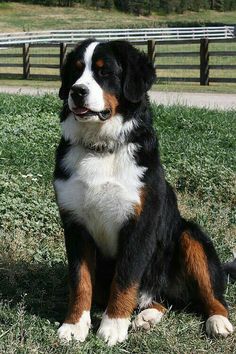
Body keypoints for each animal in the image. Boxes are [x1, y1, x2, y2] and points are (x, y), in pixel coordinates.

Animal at [53, 39, 234, 346]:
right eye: (76, 71)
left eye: (104, 72)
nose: (77, 91)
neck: (102, 147)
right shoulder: (76, 225)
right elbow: (80, 281)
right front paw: (74, 325)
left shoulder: (140, 225)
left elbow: (125, 278)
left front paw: (112, 326)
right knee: (160, 301)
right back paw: (146, 317)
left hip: (190, 234)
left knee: (210, 295)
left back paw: (218, 321)